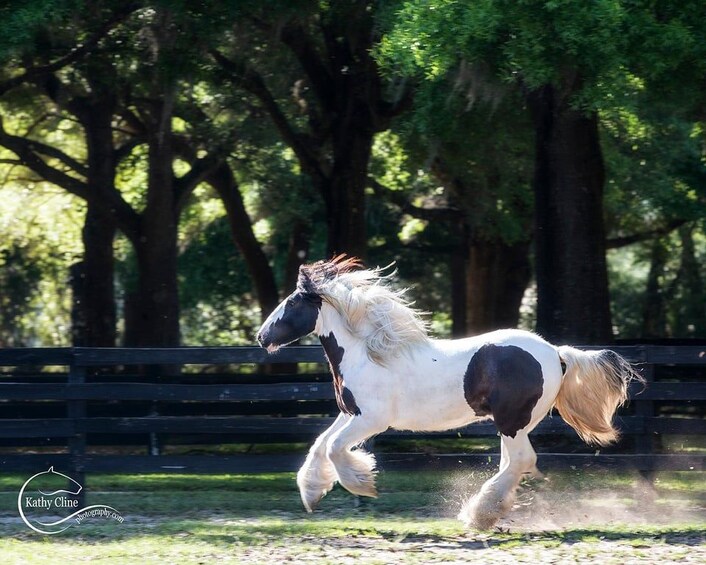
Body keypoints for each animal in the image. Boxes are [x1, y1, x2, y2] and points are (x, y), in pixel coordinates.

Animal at [256, 255, 642, 529]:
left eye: (293, 303)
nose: (262, 337)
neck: (368, 354)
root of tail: (556, 353)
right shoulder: (350, 414)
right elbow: (321, 443)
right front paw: (312, 493)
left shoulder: (372, 421)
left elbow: (335, 447)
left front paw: (364, 484)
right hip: (512, 425)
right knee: (513, 463)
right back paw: (489, 513)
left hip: (512, 422)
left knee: (520, 461)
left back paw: (479, 515)